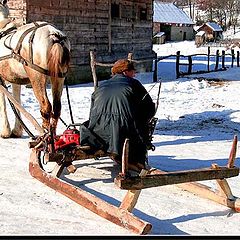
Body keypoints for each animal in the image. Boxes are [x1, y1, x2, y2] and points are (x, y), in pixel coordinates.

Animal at [0, 0, 70, 138]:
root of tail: (55, 36)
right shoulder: (15, 79)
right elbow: (16, 101)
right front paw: (17, 130)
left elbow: (4, 103)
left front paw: (5, 131)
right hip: (58, 77)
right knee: (57, 107)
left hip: (37, 77)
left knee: (45, 106)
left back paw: (45, 137)